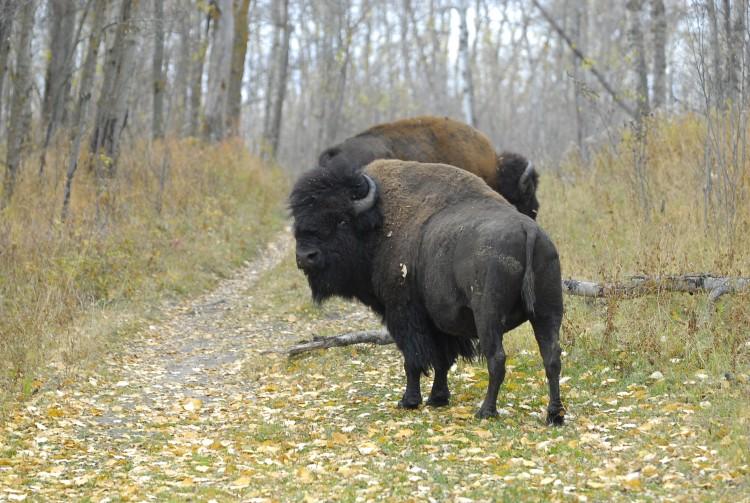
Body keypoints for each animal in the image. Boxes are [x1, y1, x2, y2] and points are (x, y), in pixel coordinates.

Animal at [290, 159, 564, 424]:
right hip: (547, 312)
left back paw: (486, 411)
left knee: (497, 358)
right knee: (551, 358)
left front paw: (409, 401)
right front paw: (437, 398)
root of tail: (529, 231)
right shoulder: (439, 321)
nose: (305, 256)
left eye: (341, 220)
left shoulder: (404, 314)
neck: (379, 223)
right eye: (298, 221)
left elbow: (413, 360)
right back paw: (554, 415)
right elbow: (442, 360)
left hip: (489, 317)